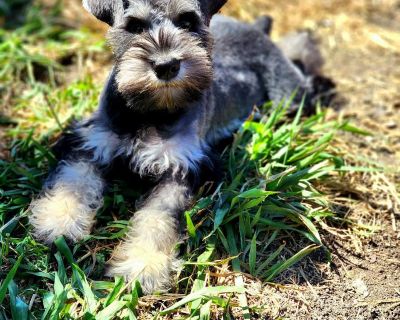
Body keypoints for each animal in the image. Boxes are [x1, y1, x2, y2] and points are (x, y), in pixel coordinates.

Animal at [28, 0, 334, 296]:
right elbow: (74, 180)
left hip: (290, 93)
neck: (150, 112)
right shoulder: (92, 140)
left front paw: (143, 265)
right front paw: (56, 221)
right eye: (134, 26)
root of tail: (256, 28)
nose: (166, 66)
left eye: (187, 22)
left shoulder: (181, 168)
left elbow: (158, 217)